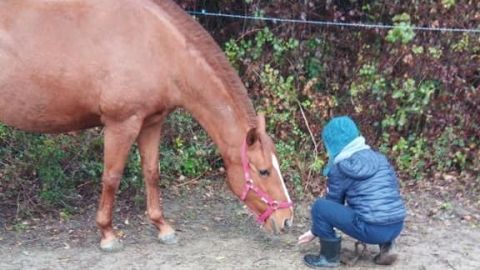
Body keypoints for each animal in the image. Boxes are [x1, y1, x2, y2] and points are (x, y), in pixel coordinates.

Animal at [0, 0, 294, 251]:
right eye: (264, 171)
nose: (287, 219)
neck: (157, 46)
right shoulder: (121, 124)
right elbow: (112, 177)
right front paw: (107, 234)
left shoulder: (151, 123)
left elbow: (152, 172)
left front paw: (163, 228)